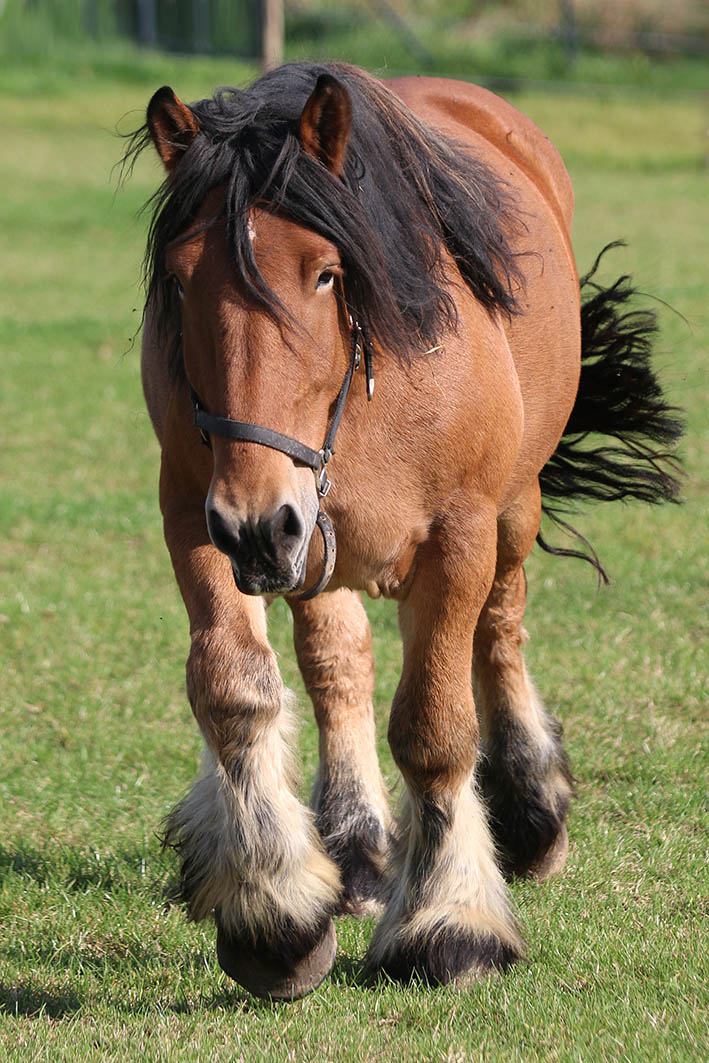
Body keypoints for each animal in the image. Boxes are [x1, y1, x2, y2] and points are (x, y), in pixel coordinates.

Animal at [130, 64, 684, 994]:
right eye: (178, 280)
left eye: (324, 274)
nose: (256, 526)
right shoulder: (201, 514)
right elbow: (236, 689)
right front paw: (273, 907)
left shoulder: (456, 537)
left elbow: (433, 728)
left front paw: (449, 923)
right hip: (309, 542)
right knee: (338, 663)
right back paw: (354, 850)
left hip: (500, 510)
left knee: (499, 627)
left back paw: (529, 810)